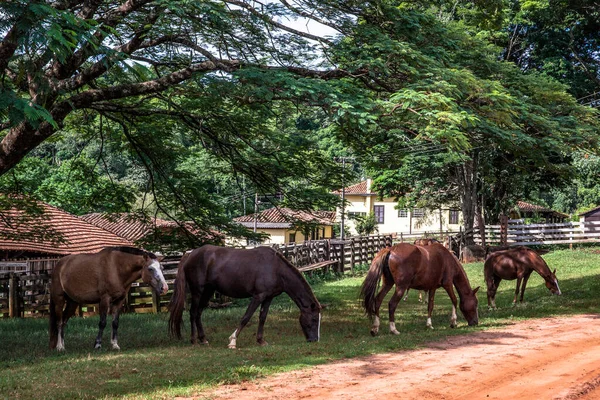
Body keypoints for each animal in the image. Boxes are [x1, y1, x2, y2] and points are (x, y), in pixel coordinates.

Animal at [168, 244, 324, 346]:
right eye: (314, 319)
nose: (314, 340)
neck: (276, 269)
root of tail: (191, 254)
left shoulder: (268, 298)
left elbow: (262, 318)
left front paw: (260, 340)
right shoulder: (258, 296)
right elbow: (246, 317)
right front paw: (233, 341)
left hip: (208, 291)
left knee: (199, 313)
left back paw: (203, 339)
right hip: (198, 291)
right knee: (193, 312)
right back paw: (194, 340)